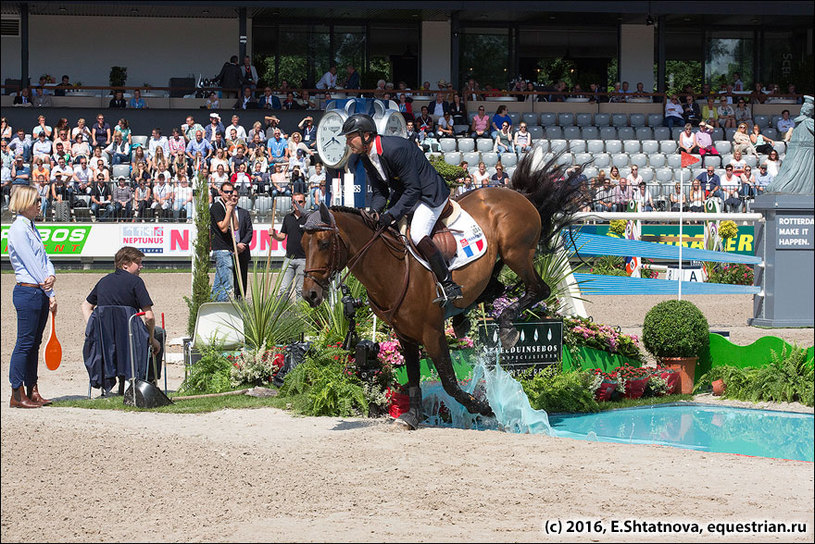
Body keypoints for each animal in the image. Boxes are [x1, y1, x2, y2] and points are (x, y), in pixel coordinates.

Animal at [300, 152, 588, 430]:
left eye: (323, 243)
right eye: (302, 243)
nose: (309, 295)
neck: (391, 267)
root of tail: (517, 193)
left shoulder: (432, 331)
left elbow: (449, 381)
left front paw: (483, 408)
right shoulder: (405, 334)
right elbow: (413, 377)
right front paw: (412, 417)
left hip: (516, 253)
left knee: (539, 289)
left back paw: (506, 325)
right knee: (497, 287)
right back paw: (468, 316)